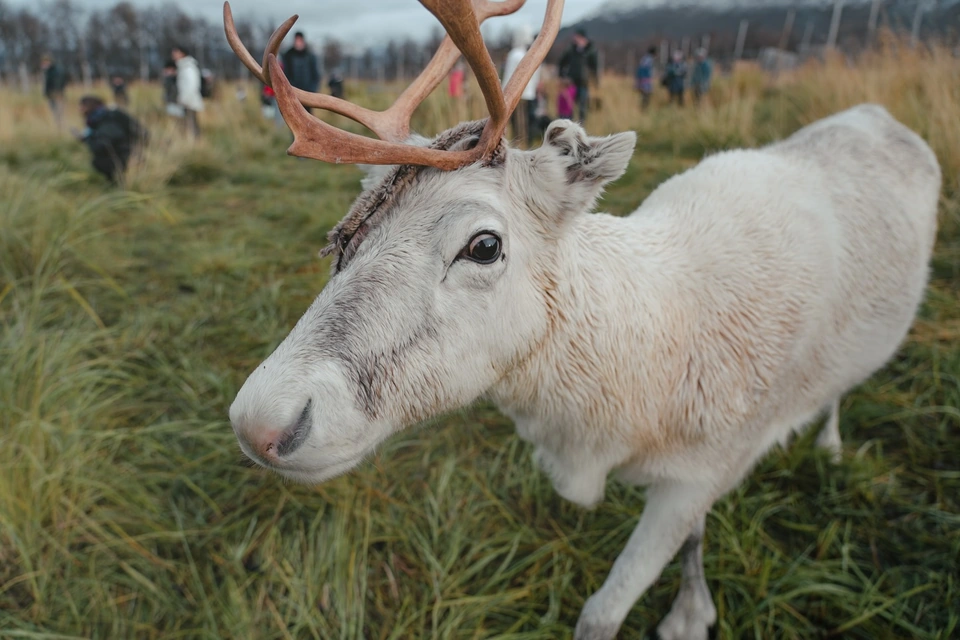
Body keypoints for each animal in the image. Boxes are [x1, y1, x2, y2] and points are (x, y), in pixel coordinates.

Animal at [222, 1, 942, 638]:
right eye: (350, 233)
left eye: (484, 244)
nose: (261, 424)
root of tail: (883, 114)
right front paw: (694, 607)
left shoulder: (702, 470)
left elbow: (600, 614)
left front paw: (687, 614)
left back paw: (830, 443)